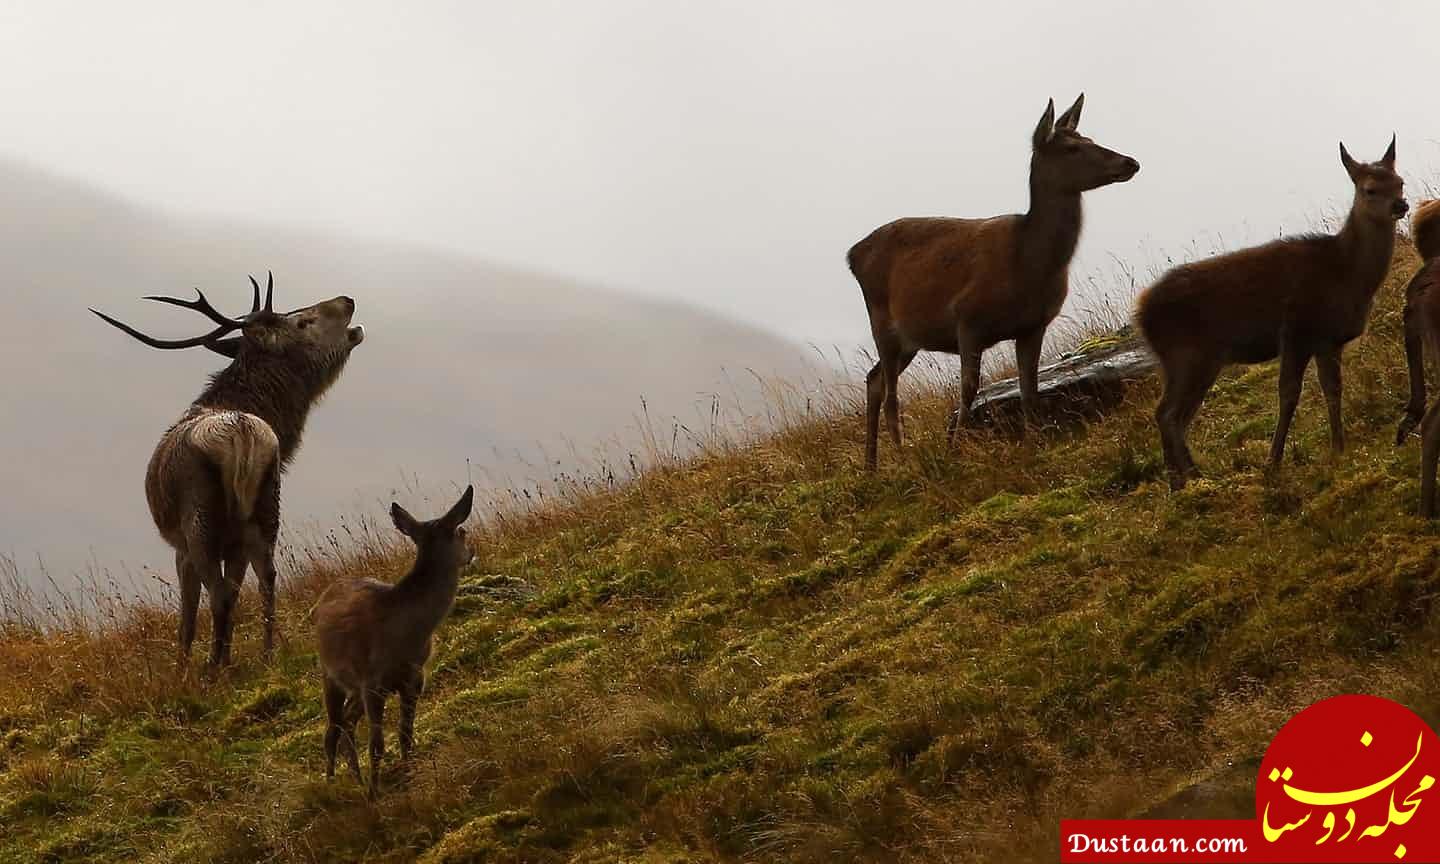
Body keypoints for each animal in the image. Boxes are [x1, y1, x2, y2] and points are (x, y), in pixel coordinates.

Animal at [91, 273, 365, 665]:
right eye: (301, 321)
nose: (347, 300)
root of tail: (243, 431)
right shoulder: (234, 542)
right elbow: (237, 593)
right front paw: (229, 657)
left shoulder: (182, 549)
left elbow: (187, 621)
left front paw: (185, 668)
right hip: (264, 510)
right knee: (266, 577)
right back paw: (265, 655)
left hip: (200, 522)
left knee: (219, 594)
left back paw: (211, 670)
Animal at [312, 483, 475, 800]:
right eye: (461, 531)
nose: (472, 551)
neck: (406, 636)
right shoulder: (372, 682)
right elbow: (376, 745)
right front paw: (375, 795)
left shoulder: (413, 678)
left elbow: (404, 736)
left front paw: (408, 775)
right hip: (330, 674)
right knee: (332, 729)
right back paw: (332, 783)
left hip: (355, 687)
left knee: (347, 722)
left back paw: (357, 777)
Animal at [840, 94, 1134, 469]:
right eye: (1071, 148)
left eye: (1090, 139)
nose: (1130, 162)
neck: (1028, 264)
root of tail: (852, 255)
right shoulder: (967, 318)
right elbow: (968, 389)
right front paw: (954, 450)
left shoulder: (1033, 326)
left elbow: (1029, 389)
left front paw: (1034, 443)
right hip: (881, 319)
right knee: (891, 393)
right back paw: (902, 458)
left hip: (910, 337)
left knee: (874, 379)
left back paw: (871, 466)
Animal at [1134, 133, 1405, 486]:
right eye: (1369, 189)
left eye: (1400, 182)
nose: (1401, 205)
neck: (1346, 273)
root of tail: (1140, 313)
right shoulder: (1296, 329)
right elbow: (1288, 394)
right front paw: (1273, 461)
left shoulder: (1329, 340)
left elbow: (1333, 389)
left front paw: (1339, 448)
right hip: (1189, 354)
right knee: (1168, 413)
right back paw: (1188, 477)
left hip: (1185, 361)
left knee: (1173, 413)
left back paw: (1181, 479)